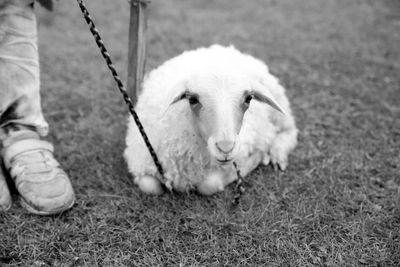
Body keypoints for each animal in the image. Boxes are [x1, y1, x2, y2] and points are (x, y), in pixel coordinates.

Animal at [124, 45, 296, 196]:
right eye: (192, 99)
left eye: (249, 98)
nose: (225, 148)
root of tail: (224, 48)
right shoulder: (140, 160)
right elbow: (150, 186)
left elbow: (209, 185)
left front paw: (255, 159)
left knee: (290, 129)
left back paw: (277, 153)